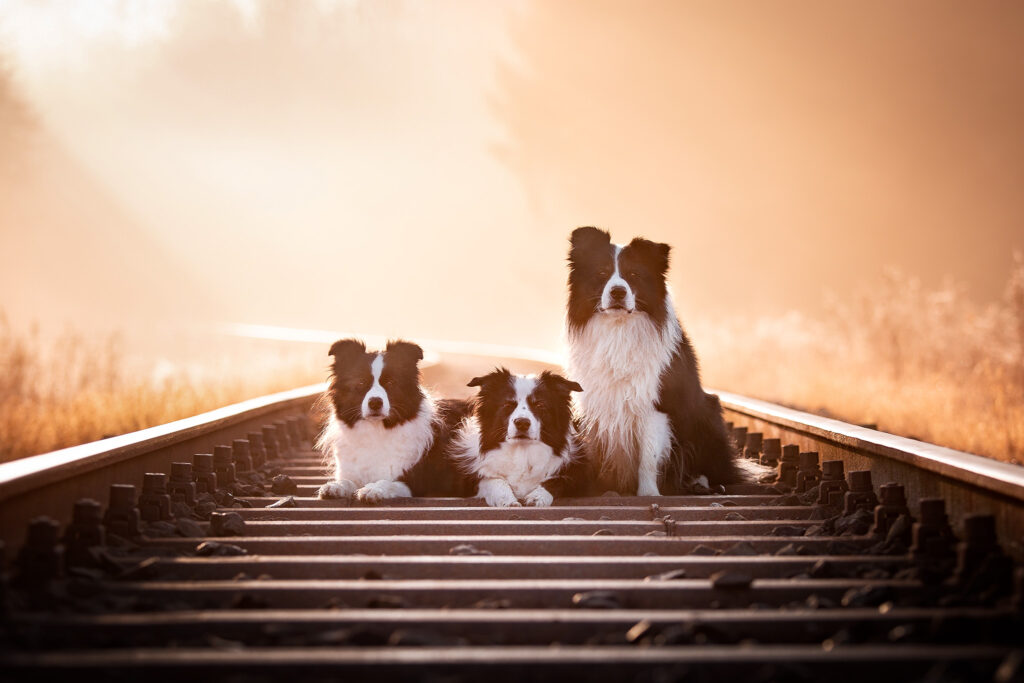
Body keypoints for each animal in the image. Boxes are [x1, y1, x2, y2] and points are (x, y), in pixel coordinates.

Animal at [315, 339, 471, 505]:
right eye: (361, 383)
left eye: (390, 382)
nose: (375, 402)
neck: (377, 430)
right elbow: (348, 481)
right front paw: (335, 486)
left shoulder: (416, 483)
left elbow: (388, 482)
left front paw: (373, 489)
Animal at [450, 368, 585, 507]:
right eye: (508, 404)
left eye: (540, 405)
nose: (522, 423)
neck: (522, 452)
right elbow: (493, 480)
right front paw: (507, 500)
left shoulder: (579, 474)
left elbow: (557, 482)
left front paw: (537, 497)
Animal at [565, 228, 757, 497]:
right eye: (602, 273)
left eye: (634, 275)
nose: (618, 292)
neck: (618, 329)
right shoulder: (595, 401)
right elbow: (595, 450)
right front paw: (596, 489)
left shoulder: (655, 404)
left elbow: (648, 457)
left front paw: (648, 494)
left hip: (708, 413)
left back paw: (700, 482)